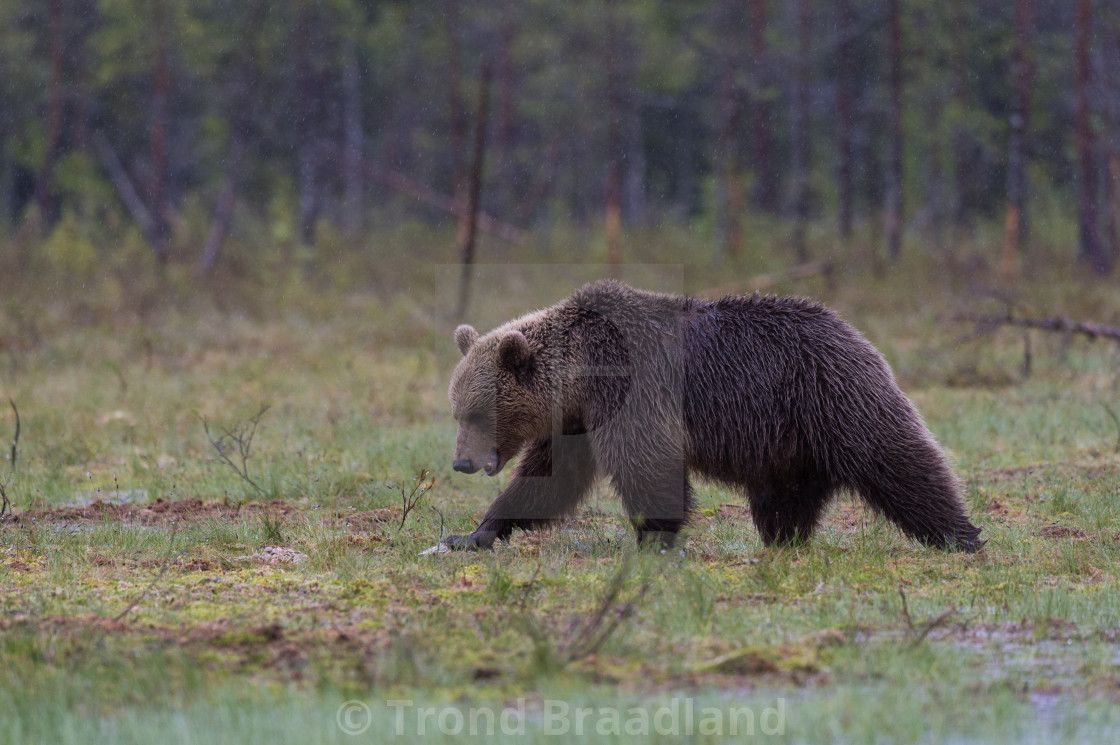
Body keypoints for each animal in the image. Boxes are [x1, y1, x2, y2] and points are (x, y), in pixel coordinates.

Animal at [441, 278, 985, 551]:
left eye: (478, 413)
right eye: (458, 411)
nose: (462, 462)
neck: (582, 373)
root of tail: (853, 331)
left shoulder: (631, 393)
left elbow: (646, 462)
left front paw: (653, 537)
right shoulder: (578, 419)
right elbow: (549, 478)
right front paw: (475, 532)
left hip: (830, 395)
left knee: (895, 457)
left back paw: (961, 535)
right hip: (783, 443)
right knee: (783, 497)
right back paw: (784, 539)